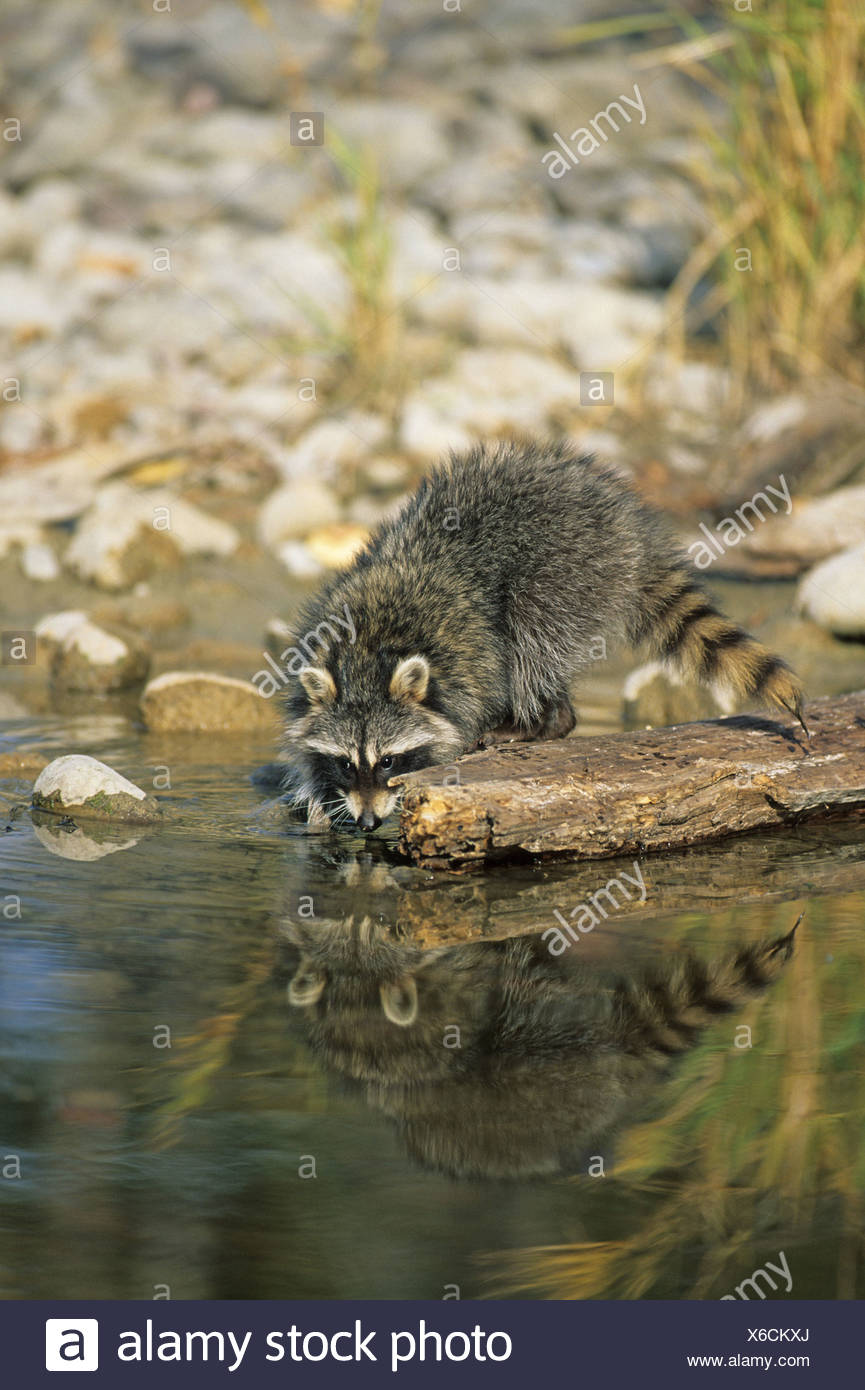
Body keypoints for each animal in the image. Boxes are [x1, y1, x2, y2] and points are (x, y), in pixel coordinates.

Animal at [281, 441, 807, 827]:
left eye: (389, 761)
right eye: (347, 763)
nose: (369, 822)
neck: (367, 656)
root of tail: (630, 530)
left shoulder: (466, 653)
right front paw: (318, 794)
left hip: (566, 570)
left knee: (532, 640)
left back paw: (541, 720)